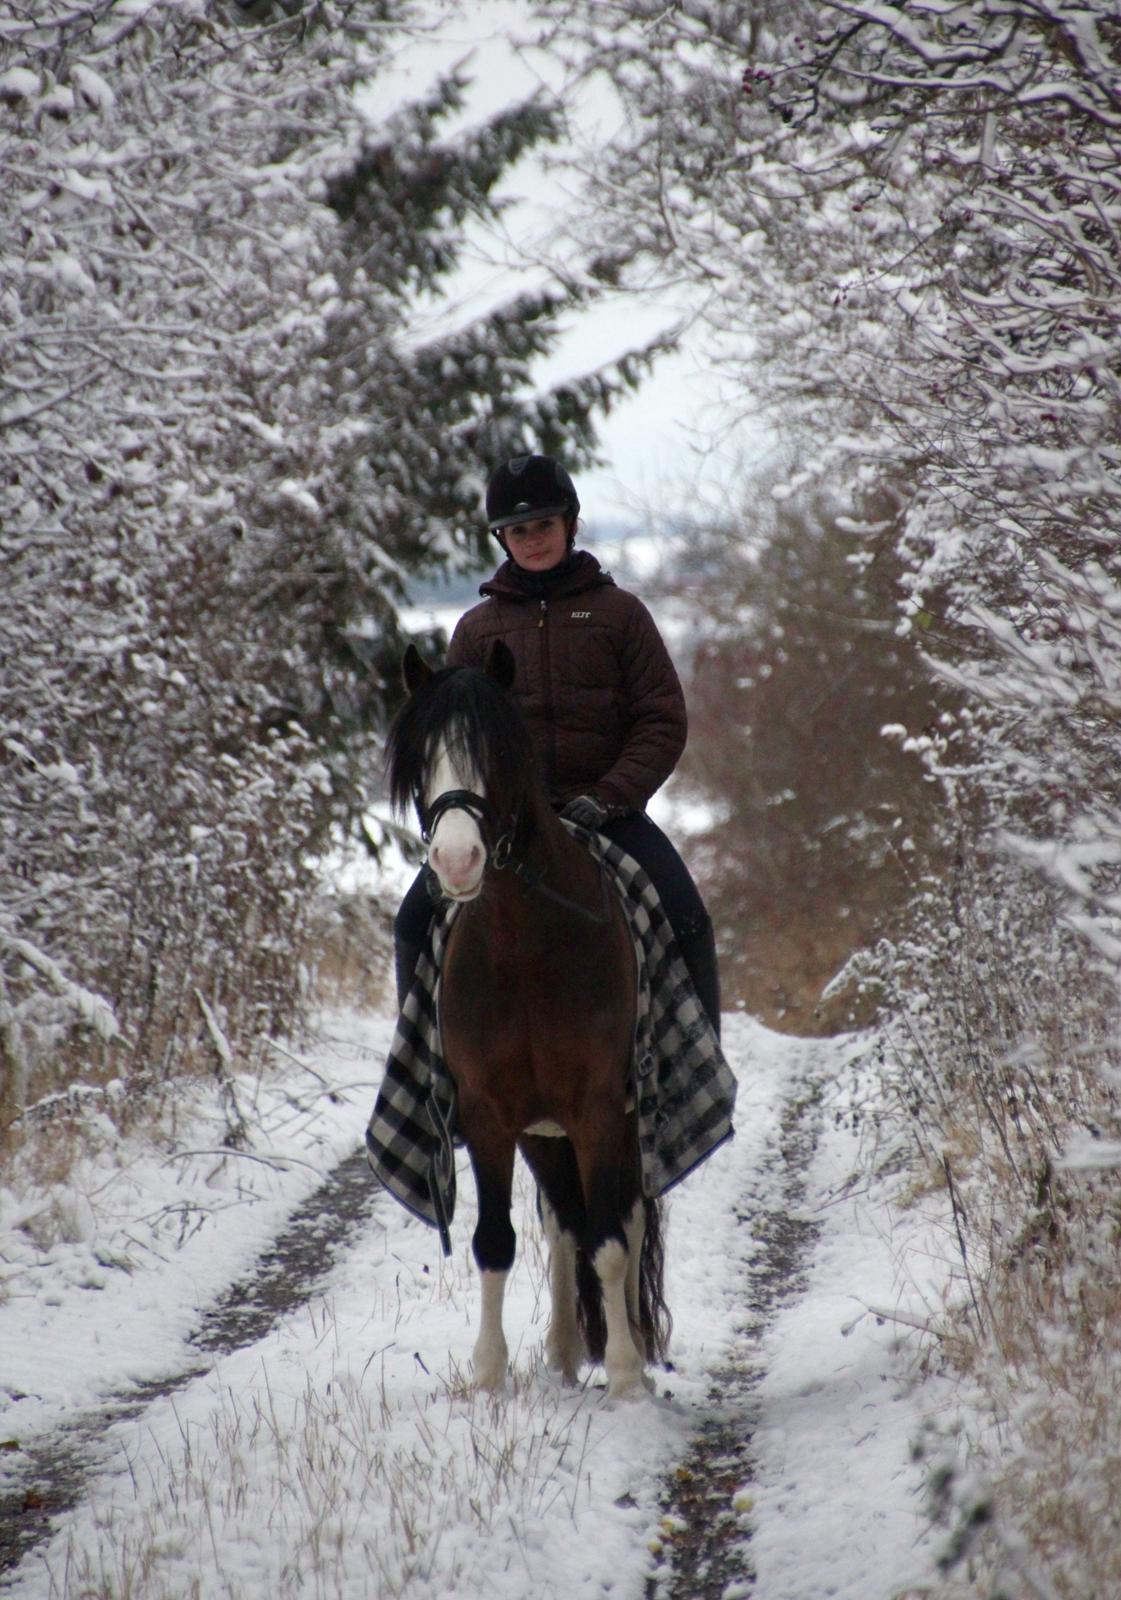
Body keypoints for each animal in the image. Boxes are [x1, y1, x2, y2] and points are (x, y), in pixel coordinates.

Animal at [386, 639, 671, 1398]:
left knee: (625, 1218)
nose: (456, 861)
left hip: (619, 1122)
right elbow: (495, 1243)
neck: (524, 945)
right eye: (420, 760)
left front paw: (626, 1377)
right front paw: (489, 1376)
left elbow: (611, 1241)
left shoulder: (598, 1106)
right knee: (564, 1222)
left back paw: (630, 1349)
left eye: (498, 752)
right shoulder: (488, 1113)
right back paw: (564, 1353)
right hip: (545, 1134)